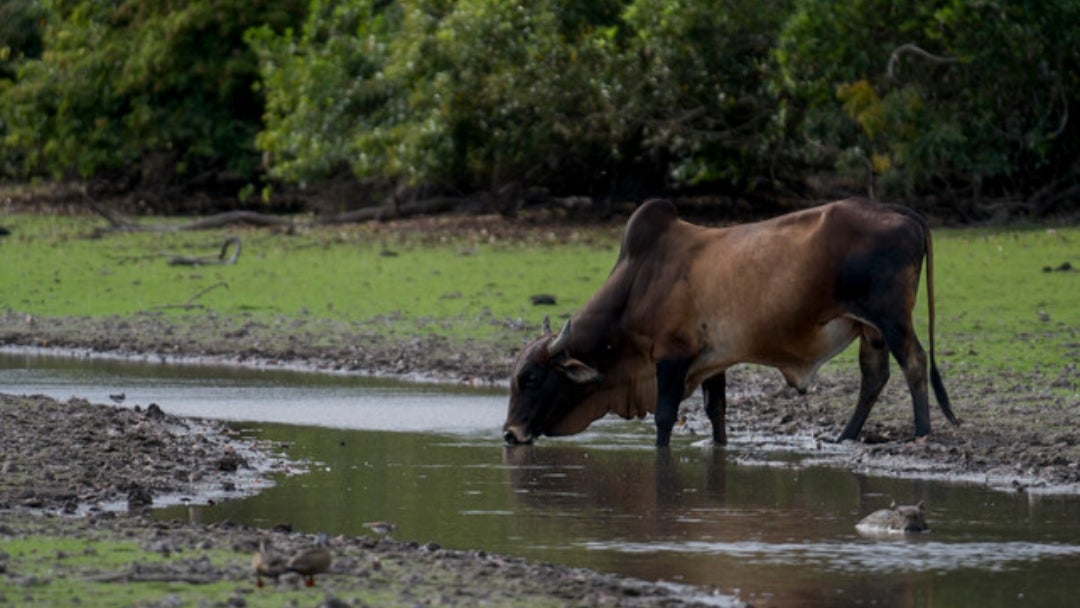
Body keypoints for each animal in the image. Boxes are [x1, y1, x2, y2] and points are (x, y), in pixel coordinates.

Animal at [501, 198, 959, 447]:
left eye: (531, 378)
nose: (509, 433)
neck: (639, 282)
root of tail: (898, 211)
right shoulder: (711, 362)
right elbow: (717, 413)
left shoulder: (671, 357)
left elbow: (665, 417)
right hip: (870, 328)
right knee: (874, 375)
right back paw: (845, 436)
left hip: (891, 317)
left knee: (914, 362)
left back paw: (921, 432)